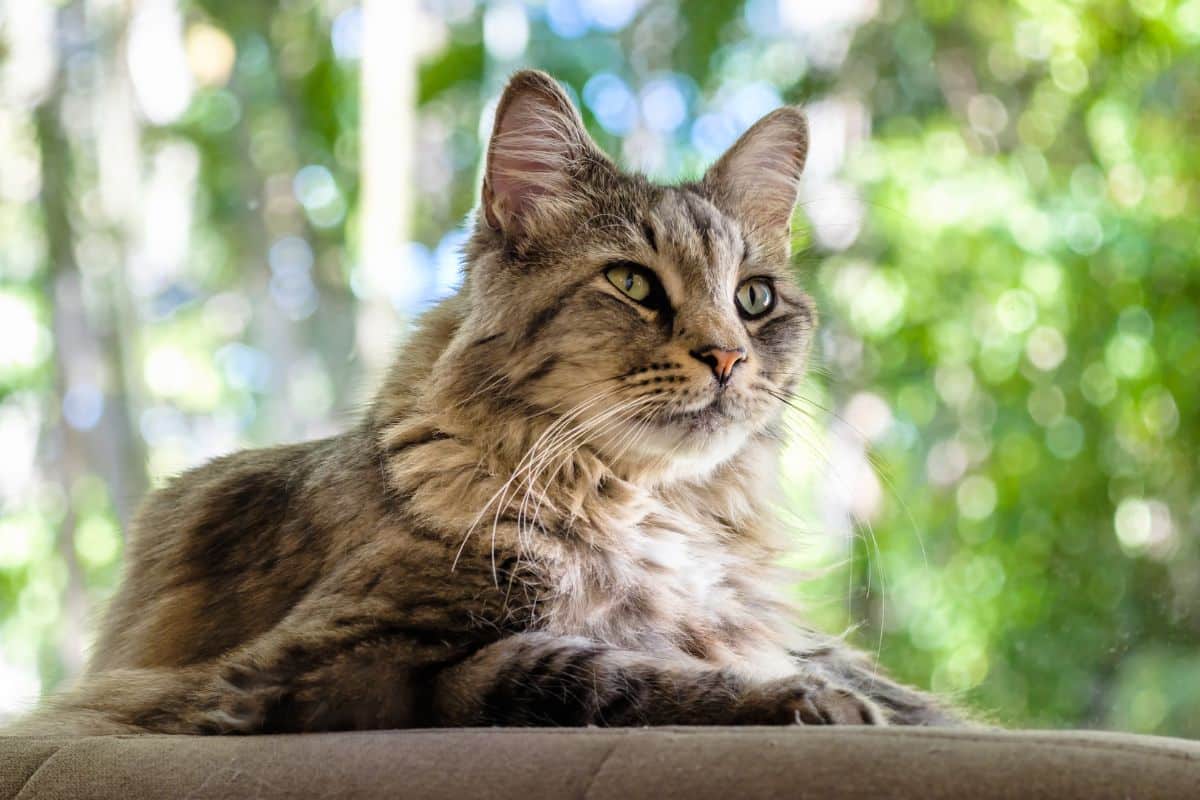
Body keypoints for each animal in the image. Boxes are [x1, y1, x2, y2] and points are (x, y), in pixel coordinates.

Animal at [11, 71, 964, 734]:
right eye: (632, 283)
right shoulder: (314, 669)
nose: (728, 357)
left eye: (755, 299)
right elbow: (597, 670)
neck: (646, 510)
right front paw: (803, 703)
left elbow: (896, 690)